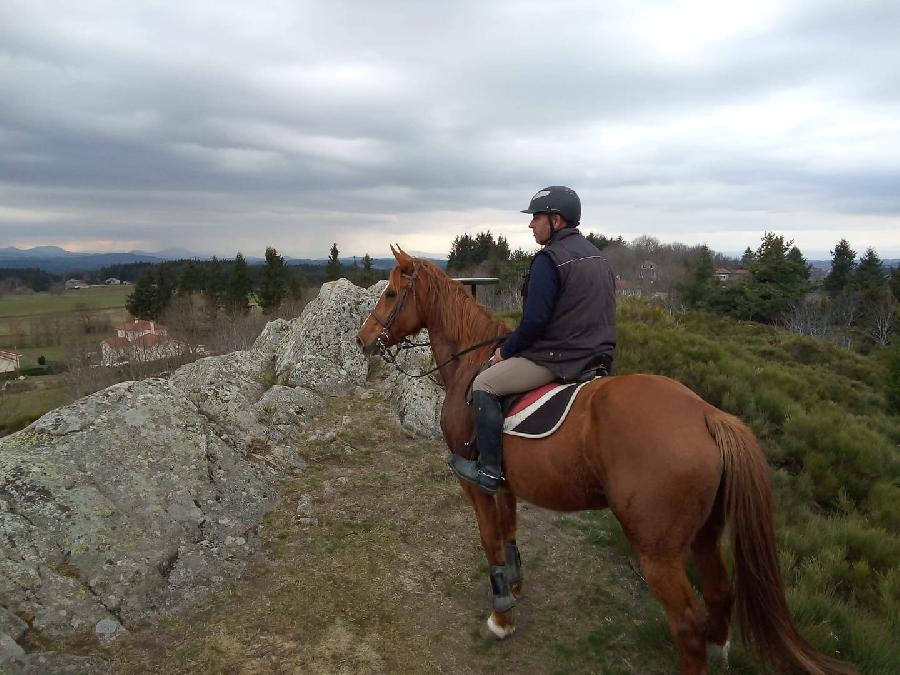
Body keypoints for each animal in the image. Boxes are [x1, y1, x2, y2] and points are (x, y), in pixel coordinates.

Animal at [356, 247, 856, 675]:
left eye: (391, 294)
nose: (363, 339)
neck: (472, 362)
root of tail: (707, 413)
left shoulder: (475, 481)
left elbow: (491, 541)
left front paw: (502, 616)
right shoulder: (508, 484)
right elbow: (511, 534)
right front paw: (516, 589)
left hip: (657, 552)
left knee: (688, 624)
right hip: (705, 536)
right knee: (719, 596)